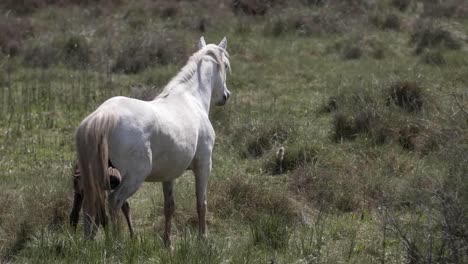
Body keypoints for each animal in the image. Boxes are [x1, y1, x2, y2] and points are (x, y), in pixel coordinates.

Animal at [76, 36, 231, 245]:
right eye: (226, 65)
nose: (226, 96)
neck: (190, 98)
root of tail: (103, 116)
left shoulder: (169, 174)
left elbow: (169, 206)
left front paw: (168, 244)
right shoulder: (204, 165)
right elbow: (201, 203)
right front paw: (203, 240)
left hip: (96, 177)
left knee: (89, 205)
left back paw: (89, 242)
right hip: (134, 177)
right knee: (114, 201)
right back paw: (116, 243)